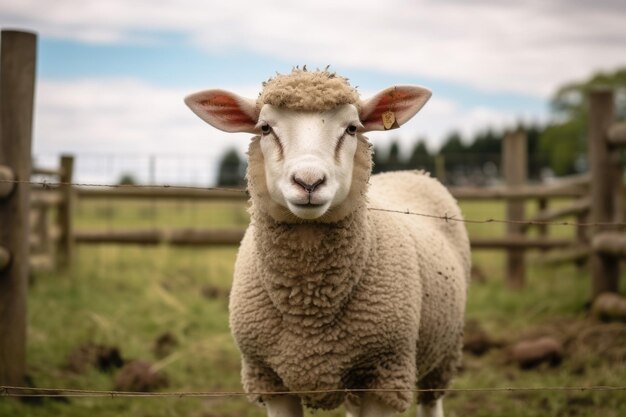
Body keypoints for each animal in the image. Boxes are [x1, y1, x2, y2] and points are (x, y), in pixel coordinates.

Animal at [184, 70, 468, 416]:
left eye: (352, 128)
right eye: (265, 128)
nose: (309, 182)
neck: (309, 311)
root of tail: (415, 172)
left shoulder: (386, 375)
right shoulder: (270, 381)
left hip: (444, 352)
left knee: (432, 400)